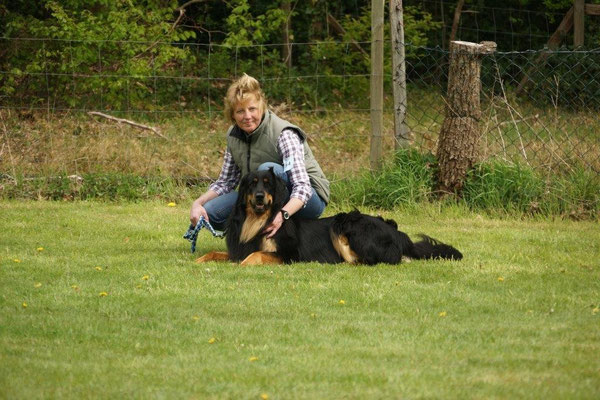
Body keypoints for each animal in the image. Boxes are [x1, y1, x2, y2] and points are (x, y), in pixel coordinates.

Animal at [197, 169, 464, 266]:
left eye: (267, 183)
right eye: (252, 184)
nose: (260, 197)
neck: (258, 221)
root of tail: (396, 231)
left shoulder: (289, 255)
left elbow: (255, 255)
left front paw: (243, 265)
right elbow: (216, 253)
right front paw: (199, 259)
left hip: (344, 223)